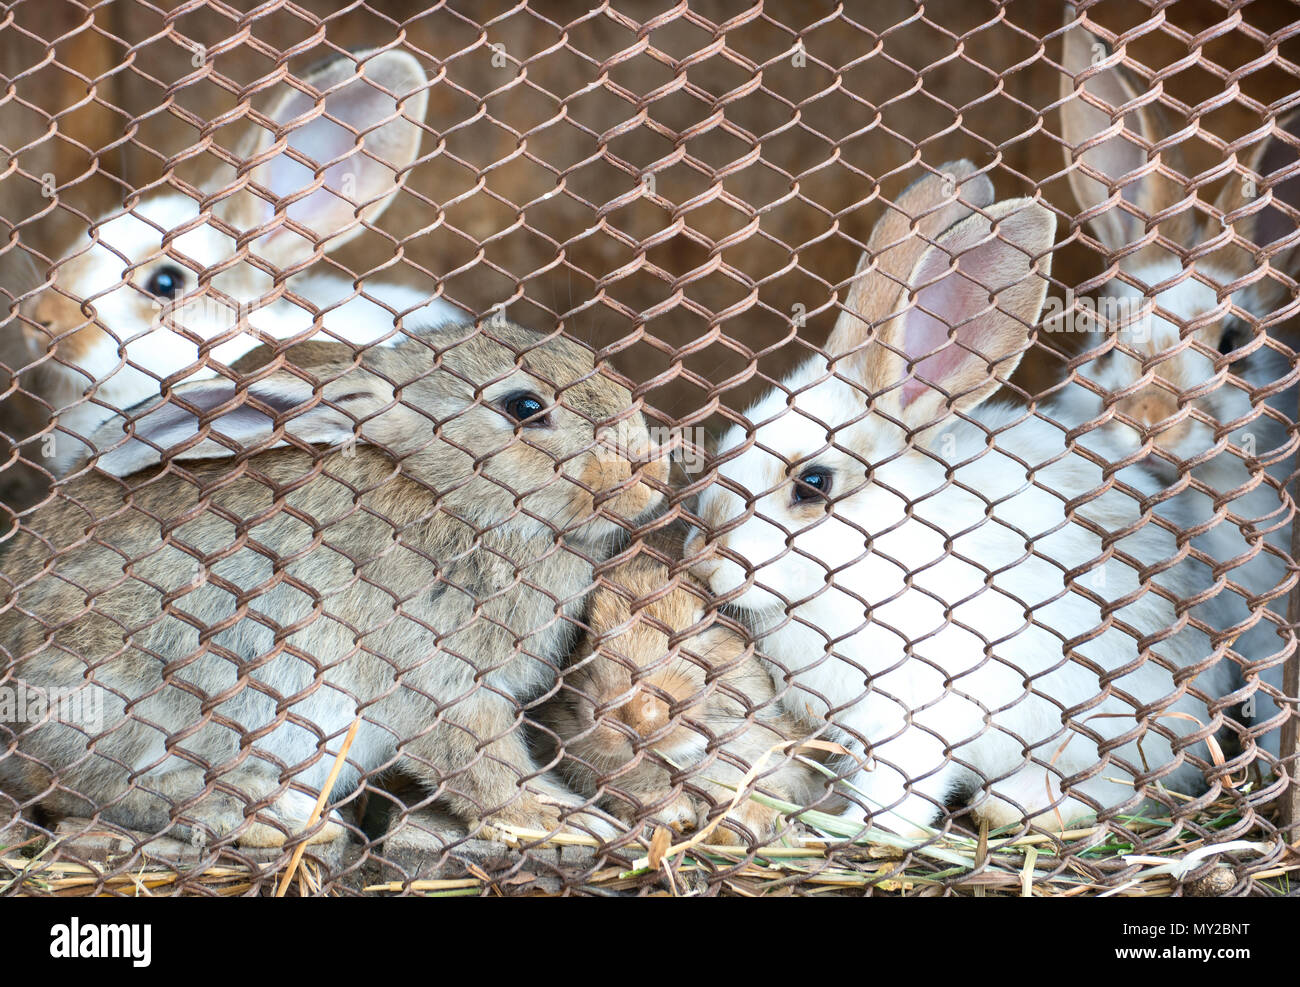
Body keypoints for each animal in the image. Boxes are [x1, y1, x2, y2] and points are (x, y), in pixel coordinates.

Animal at [0, 323, 665, 847]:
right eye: (525, 407)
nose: (654, 473)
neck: (446, 491)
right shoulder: (438, 682)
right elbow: (481, 764)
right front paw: (564, 821)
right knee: (96, 794)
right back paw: (269, 816)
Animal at [686, 163, 1232, 842]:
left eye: (812, 484)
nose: (703, 561)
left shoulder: (915, 717)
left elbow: (899, 789)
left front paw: (861, 831)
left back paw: (1013, 803)